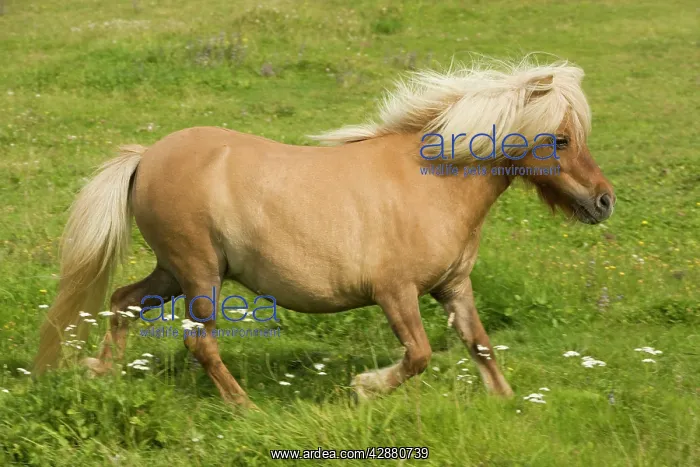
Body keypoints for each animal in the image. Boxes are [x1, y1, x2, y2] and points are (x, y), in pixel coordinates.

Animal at [34, 57, 615, 407]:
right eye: (561, 139)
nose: (604, 200)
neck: (433, 183)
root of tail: (146, 156)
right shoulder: (395, 292)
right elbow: (420, 355)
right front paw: (364, 387)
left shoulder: (453, 287)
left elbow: (480, 345)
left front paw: (505, 402)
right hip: (200, 275)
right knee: (199, 341)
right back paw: (244, 407)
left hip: (175, 271)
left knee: (122, 301)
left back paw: (100, 372)